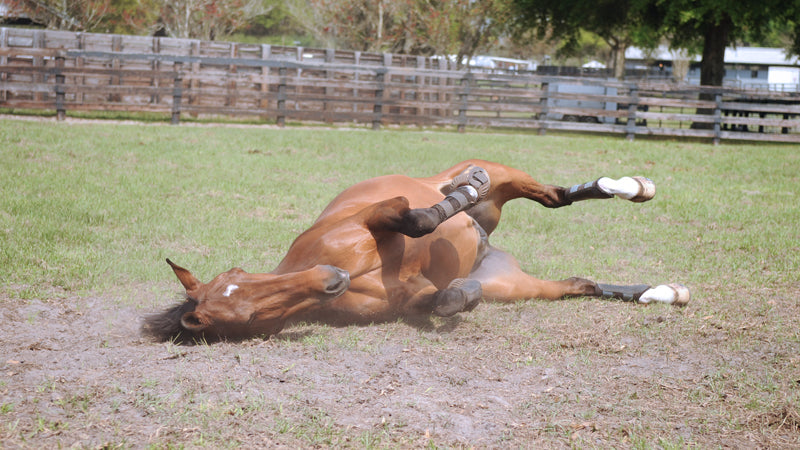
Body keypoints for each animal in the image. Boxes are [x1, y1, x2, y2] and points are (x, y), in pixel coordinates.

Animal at [142, 160, 688, 342]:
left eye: (243, 278)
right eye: (250, 317)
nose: (331, 279)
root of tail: (489, 247)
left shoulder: (378, 214)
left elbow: (420, 219)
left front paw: (459, 197)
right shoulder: (411, 298)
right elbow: (440, 299)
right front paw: (458, 297)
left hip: (504, 174)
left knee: (553, 196)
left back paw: (634, 187)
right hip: (513, 285)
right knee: (580, 283)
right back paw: (664, 293)